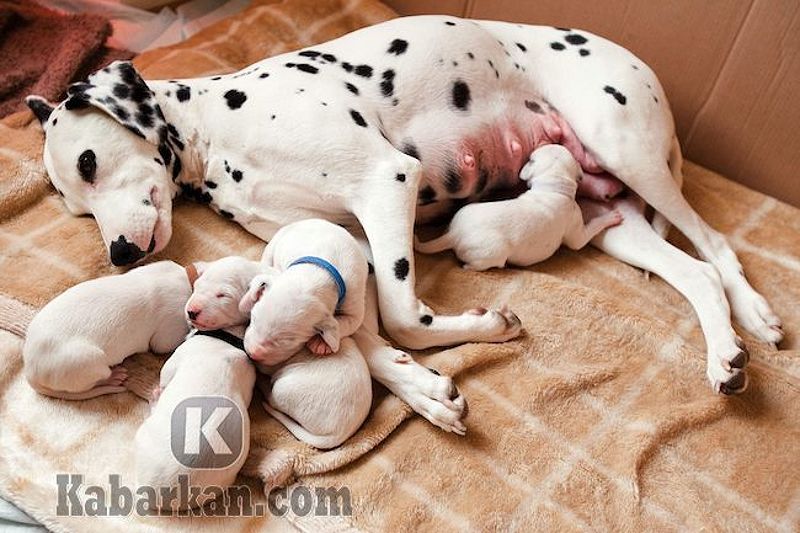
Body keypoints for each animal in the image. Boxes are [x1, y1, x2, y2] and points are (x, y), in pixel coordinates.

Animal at [21, 260, 197, 396]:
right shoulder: (171, 324)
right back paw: (113, 377)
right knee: (93, 382)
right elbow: (163, 344)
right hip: (89, 363)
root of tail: (30, 369)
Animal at [239, 217, 368, 366]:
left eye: (288, 340)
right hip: (275, 243)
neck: (317, 273)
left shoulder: (354, 305)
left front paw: (320, 343)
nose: (253, 354)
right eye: (253, 318)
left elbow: (344, 323)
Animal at [416, 143, 628, 270]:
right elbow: (587, 232)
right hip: (492, 254)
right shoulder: (576, 229)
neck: (552, 187)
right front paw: (611, 217)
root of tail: (454, 235)